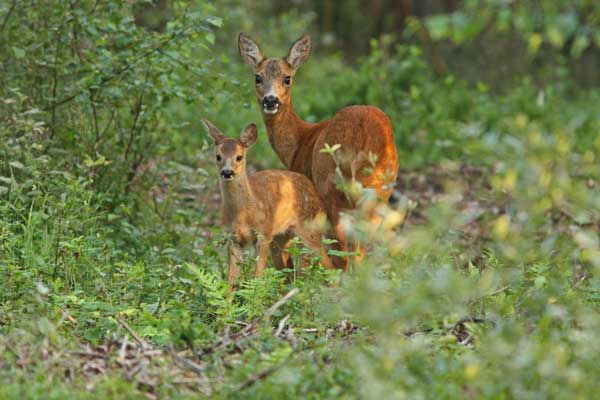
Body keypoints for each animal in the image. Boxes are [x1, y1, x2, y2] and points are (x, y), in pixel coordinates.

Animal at [238, 32, 398, 268]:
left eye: (287, 78)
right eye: (258, 77)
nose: (270, 100)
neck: (299, 142)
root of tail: (363, 135)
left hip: (331, 186)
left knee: (343, 255)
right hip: (380, 190)